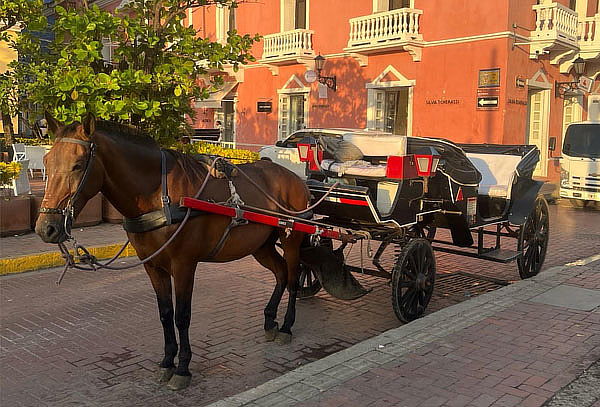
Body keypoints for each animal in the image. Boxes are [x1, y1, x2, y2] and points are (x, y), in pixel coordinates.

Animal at [34, 115, 310, 392]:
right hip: (260, 246)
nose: (46, 228)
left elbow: (182, 316)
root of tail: (294, 178)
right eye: (47, 162)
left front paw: (183, 368)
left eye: (78, 165)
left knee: (293, 278)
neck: (158, 195)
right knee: (280, 274)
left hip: (291, 239)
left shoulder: (184, 264)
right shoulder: (153, 266)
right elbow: (165, 314)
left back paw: (286, 326)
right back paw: (270, 320)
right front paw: (167, 361)